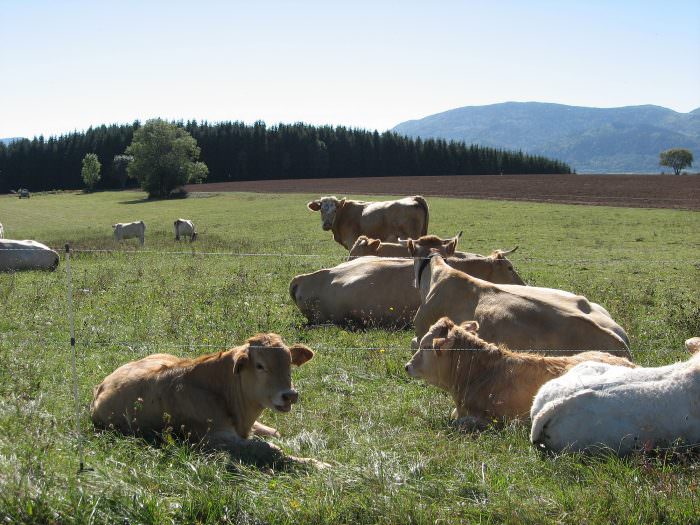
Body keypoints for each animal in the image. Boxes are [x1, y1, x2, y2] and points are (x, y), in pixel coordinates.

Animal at [89, 332, 326, 466]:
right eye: (260, 366)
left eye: (289, 362)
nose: (290, 395)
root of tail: (101, 385)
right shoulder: (212, 439)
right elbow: (268, 448)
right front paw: (316, 464)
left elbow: (274, 435)